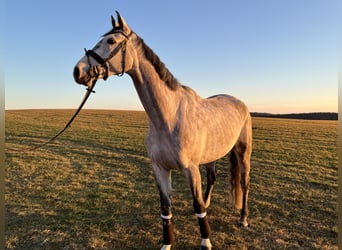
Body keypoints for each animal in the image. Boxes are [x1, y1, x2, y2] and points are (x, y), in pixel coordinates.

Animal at [73, 11, 252, 250]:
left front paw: (205, 241)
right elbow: (166, 208)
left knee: (244, 182)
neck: (168, 116)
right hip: (211, 156)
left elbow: (196, 205)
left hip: (243, 153)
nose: (77, 71)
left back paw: (243, 219)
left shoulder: (190, 169)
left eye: (110, 41)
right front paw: (167, 243)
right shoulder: (159, 168)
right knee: (213, 178)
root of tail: (239, 102)